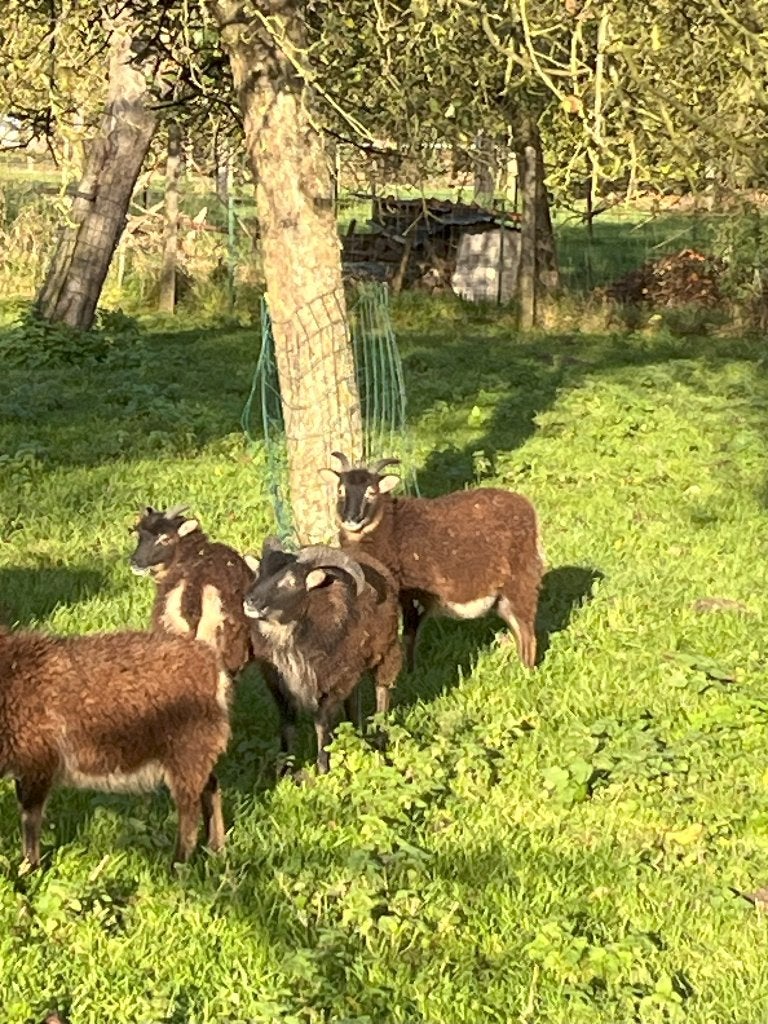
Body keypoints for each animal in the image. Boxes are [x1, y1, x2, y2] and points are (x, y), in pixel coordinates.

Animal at [0, 626, 232, 868]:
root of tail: (213, 666)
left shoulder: (37, 762)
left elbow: (30, 818)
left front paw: (29, 868)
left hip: (187, 750)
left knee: (190, 812)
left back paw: (177, 866)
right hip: (199, 751)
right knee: (211, 787)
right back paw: (217, 851)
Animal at [242, 538, 402, 775]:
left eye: (291, 581)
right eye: (259, 572)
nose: (250, 601)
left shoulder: (329, 685)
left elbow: (321, 727)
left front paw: (322, 770)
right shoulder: (279, 686)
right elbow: (287, 727)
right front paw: (284, 769)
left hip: (386, 651)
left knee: (382, 691)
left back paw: (381, 742)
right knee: (353, 701)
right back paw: (357, 734)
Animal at [320, 452, 544, 670]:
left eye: (371, 492)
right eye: (340, 491)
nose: (351, 519)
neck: (391, 529)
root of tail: (527, 507)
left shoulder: (413, 595)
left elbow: (409, 635)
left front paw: (411, 673)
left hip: (521, 579)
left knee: (527, 631)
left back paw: (527, 671)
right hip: (502, 594)